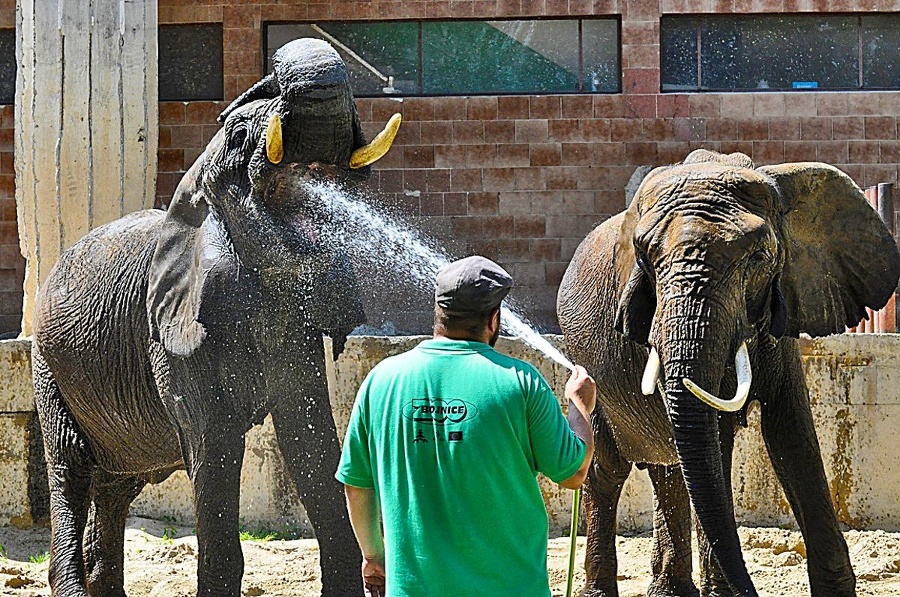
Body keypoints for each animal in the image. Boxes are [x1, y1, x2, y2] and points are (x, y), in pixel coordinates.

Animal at [30, 38, 400, 596]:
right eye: (240, 134)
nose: (269, 82)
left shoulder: (291, 323)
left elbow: (309, 436)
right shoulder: (172, 331)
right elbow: (216, 445)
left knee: (116, 484)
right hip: (48, 366)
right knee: (70, 465)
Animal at [556, 150, 900, 596]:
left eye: (757, 258)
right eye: (645, 258)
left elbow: (793, 435)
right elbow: (716, 440)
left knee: (670, 468)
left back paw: (671, 591)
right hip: (585, 363)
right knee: (608, 471)